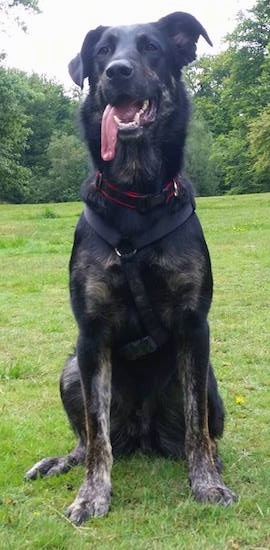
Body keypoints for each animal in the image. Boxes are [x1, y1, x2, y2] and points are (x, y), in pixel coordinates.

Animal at [25, 10, 236, 524]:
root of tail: (141, 434)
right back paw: (60, 462)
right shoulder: (91, 335)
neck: (136, 198)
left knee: (202, 427)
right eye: (102, 52)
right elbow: (97, 434)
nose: (116, 72)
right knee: (87, 440)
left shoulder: (194, 327)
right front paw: (91, 494)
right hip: (71, 370)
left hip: (209, 379)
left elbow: (197, 428)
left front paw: (206, 482)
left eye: (151, 48)